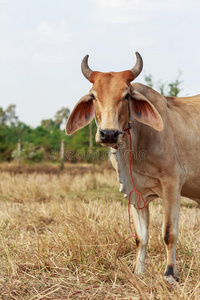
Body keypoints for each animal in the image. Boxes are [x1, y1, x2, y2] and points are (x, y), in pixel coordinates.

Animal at [66, 52, 200, 282]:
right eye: (93, 96)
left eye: (127, 95)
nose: (109, 134)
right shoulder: (136, 192)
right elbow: (141, 236)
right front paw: (139, 272)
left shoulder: (172, 185)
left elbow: (169, 233)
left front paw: (169, 274)